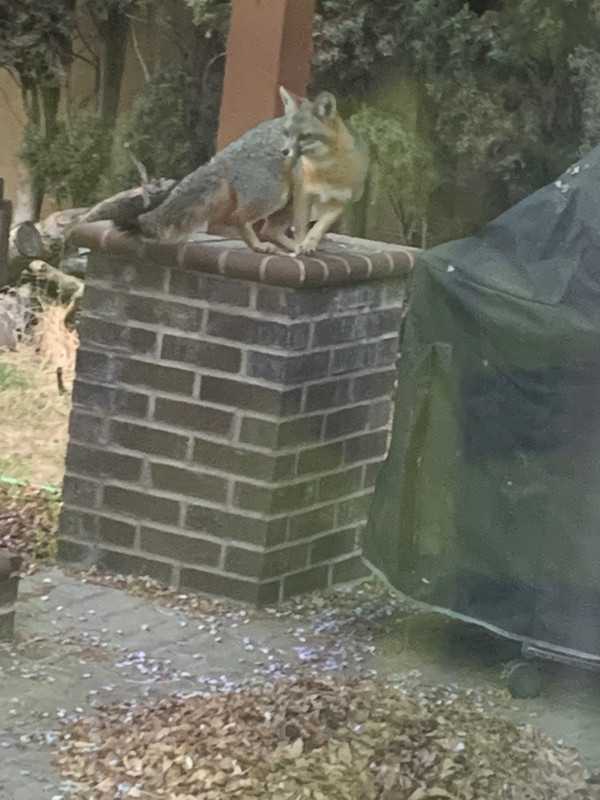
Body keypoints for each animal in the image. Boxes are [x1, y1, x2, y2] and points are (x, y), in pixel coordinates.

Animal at [118, 87, 368, 255]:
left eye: (304, 136)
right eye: (287, 133)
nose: (283, 151)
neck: (329, 171)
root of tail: (223, 155)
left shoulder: (339, 204)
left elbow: (319, 227)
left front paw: (308, 244)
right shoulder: (303, 196)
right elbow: (301, 229)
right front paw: (301, 245)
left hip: (284, 201)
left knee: (268, 229)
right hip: (276, 196)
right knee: (238, 219)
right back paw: (259, 246)